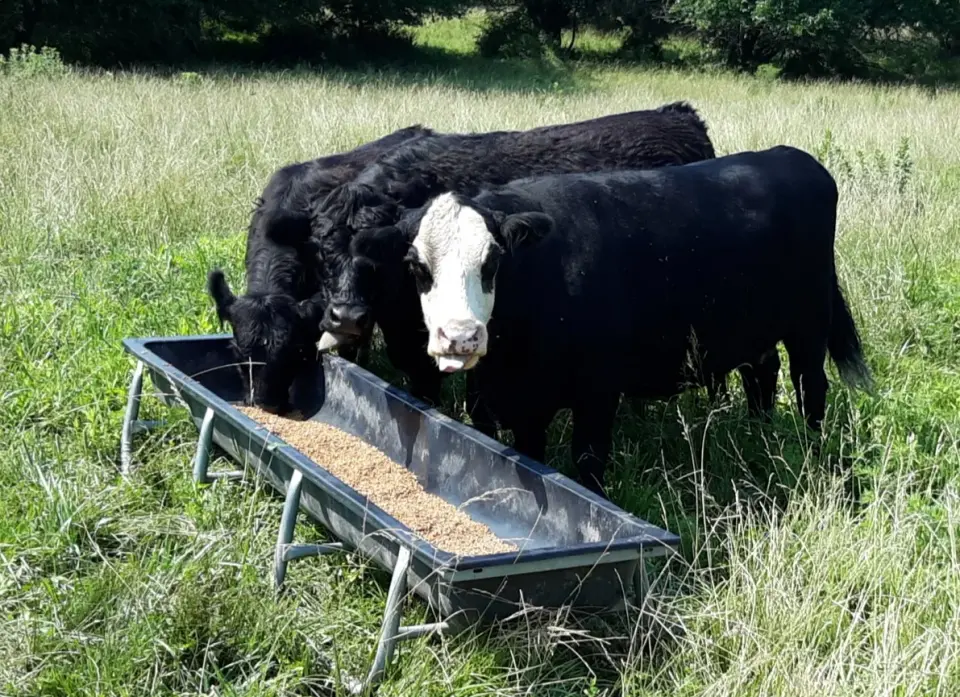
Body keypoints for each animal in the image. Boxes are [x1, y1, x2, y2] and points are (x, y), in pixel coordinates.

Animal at [388, 145, 875, 496]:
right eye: (415, 266)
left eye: (492, 261)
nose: (460, 336)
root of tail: (793, 157)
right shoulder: (518, 407)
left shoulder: (598, 392)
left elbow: (588, 461)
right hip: (752, 328)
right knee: (763, 374)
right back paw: (760, 435)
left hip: (809, 324)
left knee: (809, 386)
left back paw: (809, 449)